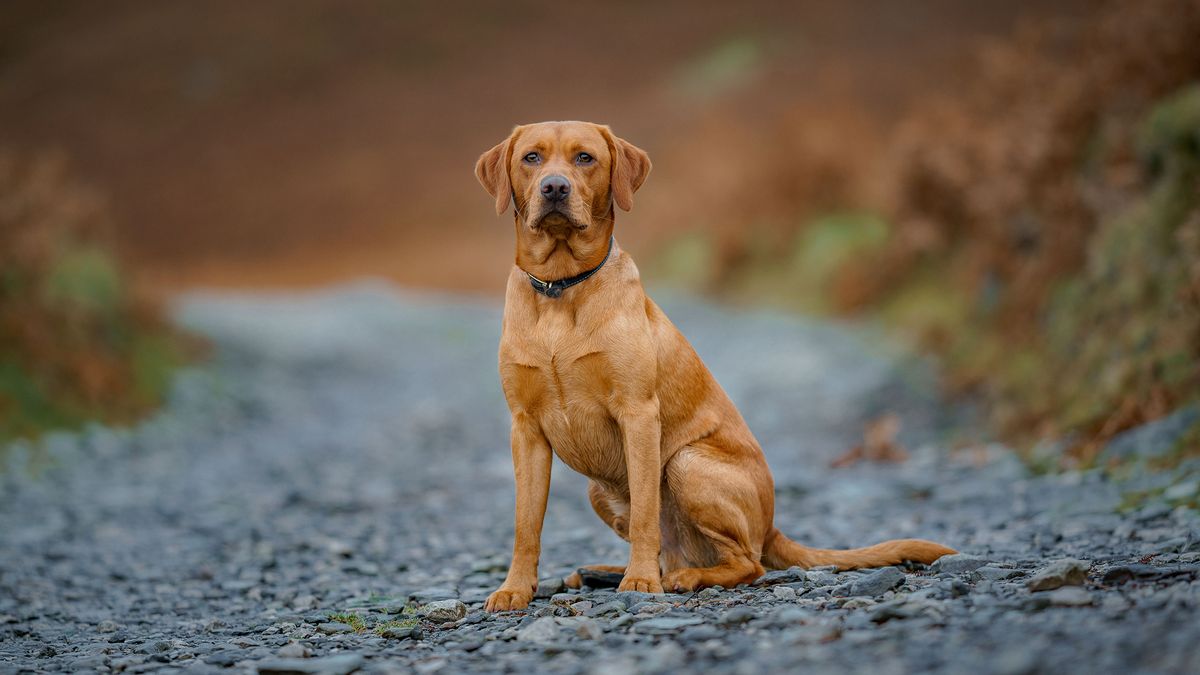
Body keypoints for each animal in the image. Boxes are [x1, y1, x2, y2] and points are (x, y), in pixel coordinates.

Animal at [472, 119, 950, 610]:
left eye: (585, 157)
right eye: (531, 158)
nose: (554, 187)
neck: (561, 286)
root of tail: (772, 525)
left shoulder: (638, 414)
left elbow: (645, 513)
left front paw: (640, 582)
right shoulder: (525, 429)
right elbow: (525, 524)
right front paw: (514, 588)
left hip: (687, 463)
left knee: (747, 564)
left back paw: (680, 577)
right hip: (600, 490)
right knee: (679, 554)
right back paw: (609, 571)